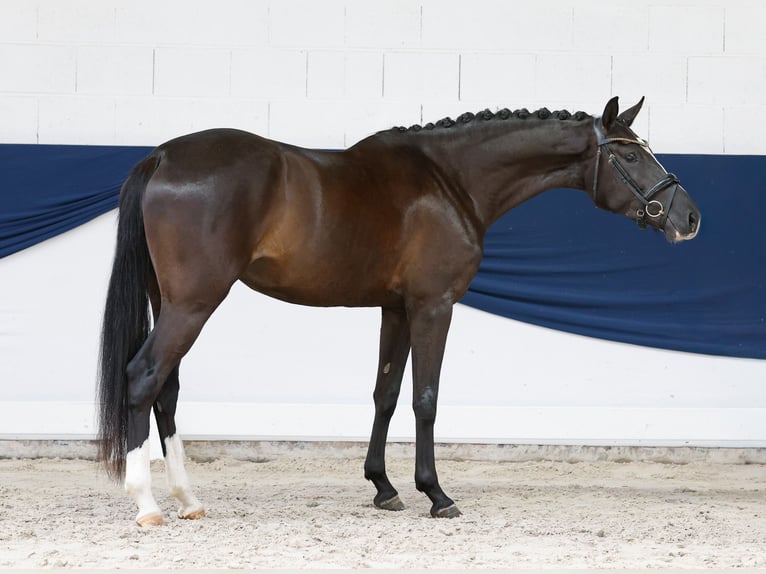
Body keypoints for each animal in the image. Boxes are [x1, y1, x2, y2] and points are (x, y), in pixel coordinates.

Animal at [97, 96, 700, 526]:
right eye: (628, 154)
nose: (688, 218)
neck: (450, 181)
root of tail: (163, 155)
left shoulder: (397, 308)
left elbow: (385, 394)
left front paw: (383, 488)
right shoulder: (434, 306)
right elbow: (425, 398)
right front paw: (436, 494)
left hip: (170, 302)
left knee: (166, 389)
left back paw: (187, 499)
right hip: (193, 305)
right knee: (143, 376)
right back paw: (147, 504)